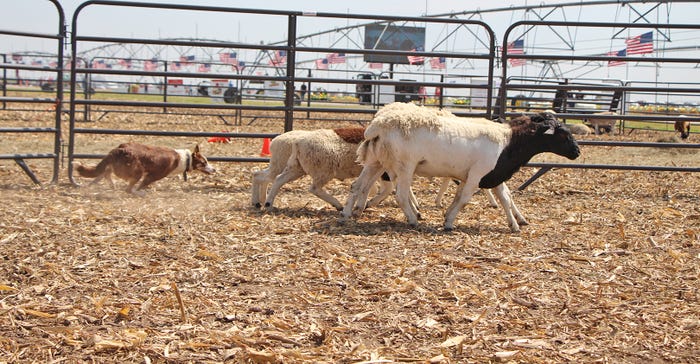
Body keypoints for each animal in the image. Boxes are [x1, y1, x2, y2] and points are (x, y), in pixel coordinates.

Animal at [73, 142, 216, 195]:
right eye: (204, 162)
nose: (214, 169)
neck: (185, 159)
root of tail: (119, 149)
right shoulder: (153, 175)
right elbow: (143, 184)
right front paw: (141, 190)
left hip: (121, 167)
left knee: (107, 172)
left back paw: (113, 185)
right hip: (137, 171)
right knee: (128, 189)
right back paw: (136, 192)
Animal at [344, 101, 580, 233]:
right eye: (563, 134)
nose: (577, 152)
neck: (508, 142)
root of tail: (378, 125)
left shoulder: (491, 174)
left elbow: (503, 198)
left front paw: (514, 224)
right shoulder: (477, 174)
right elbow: (465, 198)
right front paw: (448, 222)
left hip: (375, 161)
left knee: (358, 186)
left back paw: (346, 214)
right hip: (405, 166)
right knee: (400, 194)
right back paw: (413, 219)